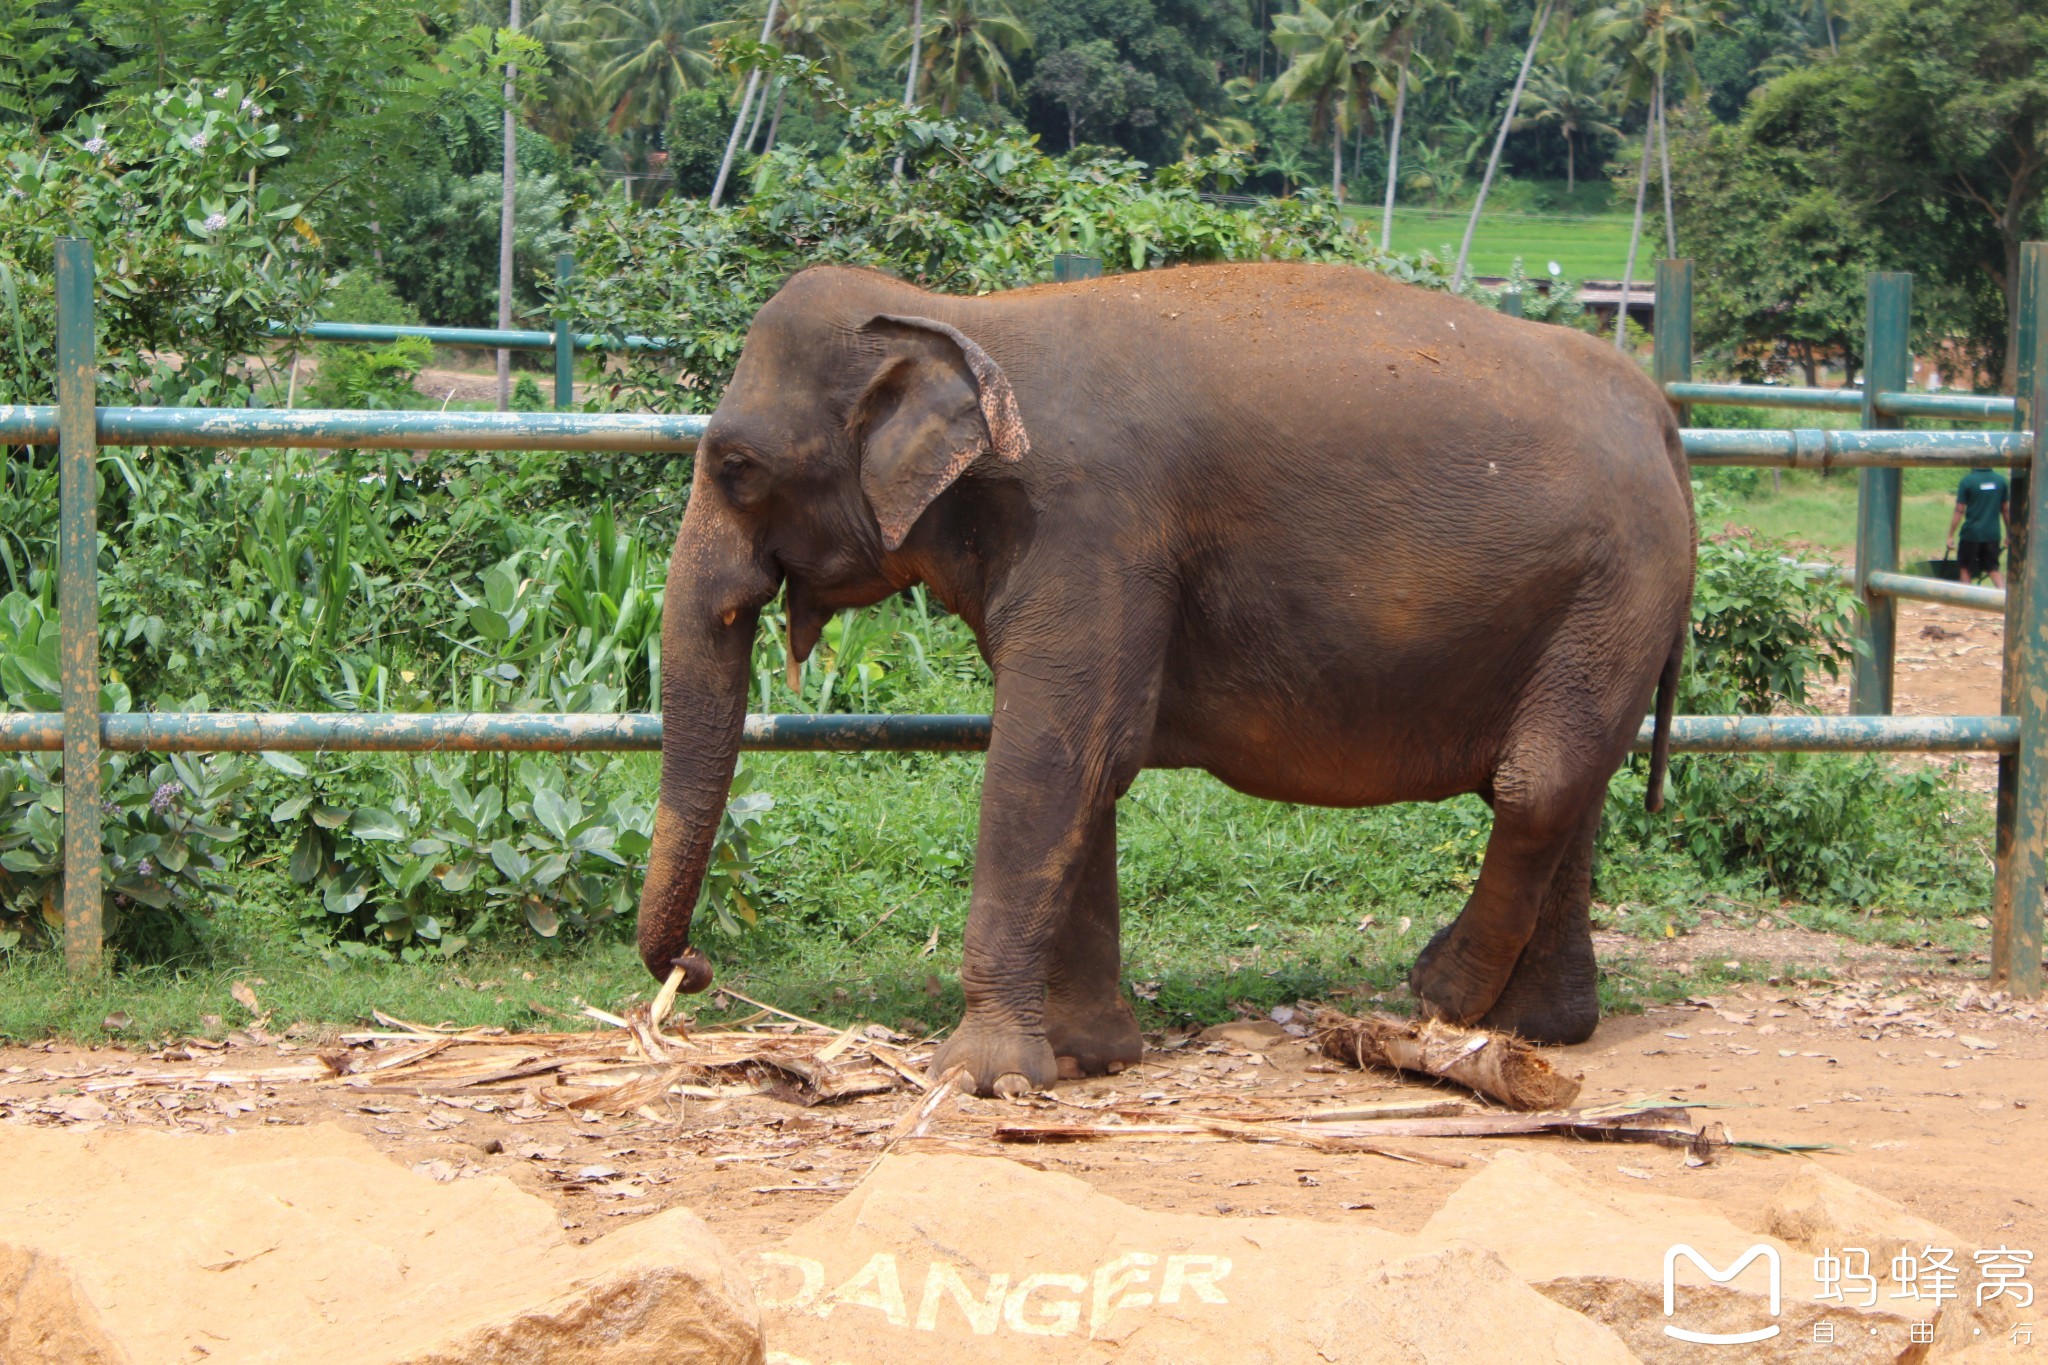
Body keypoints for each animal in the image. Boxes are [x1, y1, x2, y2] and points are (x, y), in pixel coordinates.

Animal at [638, 261, 1695, 1096]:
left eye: (736, 466)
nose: (694, 967)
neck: (960, 315)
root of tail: (1663, 413)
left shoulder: (1095, 529)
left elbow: (1049, 760)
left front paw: (979, 1078)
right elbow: (1086, 771)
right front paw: (1087, 1056)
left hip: (1623, 577)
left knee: (1536, 784)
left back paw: (1439, 997)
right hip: (1600, 606)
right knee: (1571, 789)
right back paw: (1538, 1029)